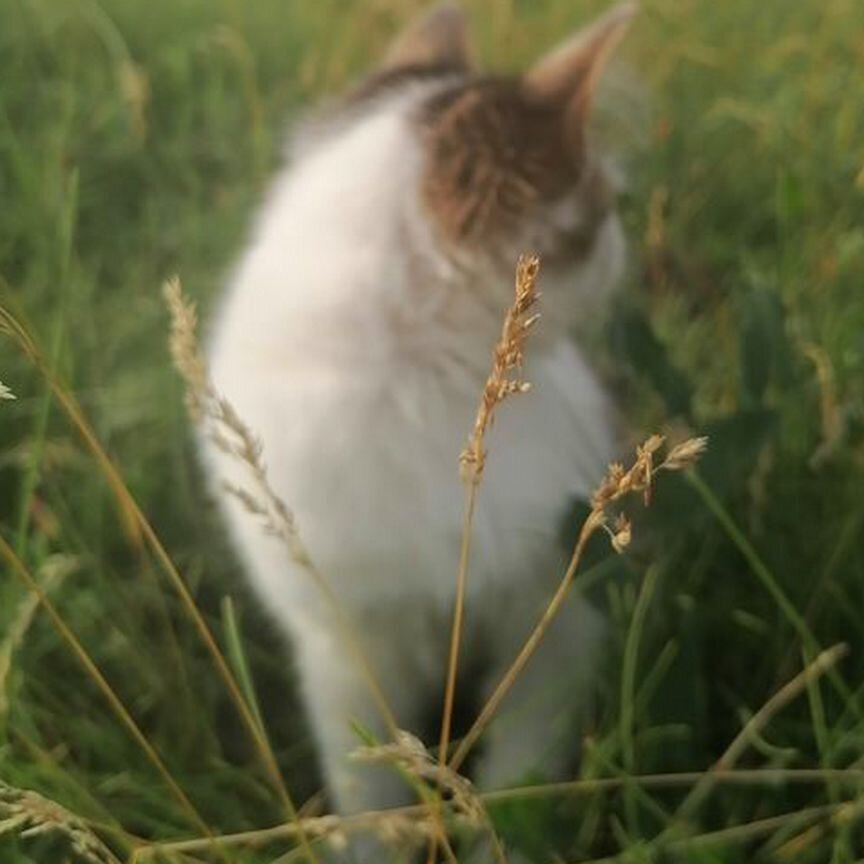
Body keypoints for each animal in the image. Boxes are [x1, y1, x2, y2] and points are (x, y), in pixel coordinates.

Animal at [201, 1, 636, 856]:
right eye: (601, 213)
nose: (625, 249)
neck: (424, 396)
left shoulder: (555, 625)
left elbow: (519, 781)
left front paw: (508, 843)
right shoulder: (344, 648)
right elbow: (367, 794)